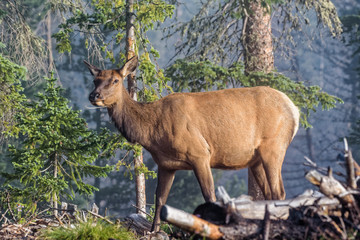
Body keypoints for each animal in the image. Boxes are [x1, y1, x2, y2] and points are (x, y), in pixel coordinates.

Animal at [84, 56, 298, 232]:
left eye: (115, 80)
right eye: (95, 80)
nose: (94, 96)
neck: (152, 133)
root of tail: (294, 110)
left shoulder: (200, 153)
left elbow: (209, 196)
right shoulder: (166, 164)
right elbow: (160, 199)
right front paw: (154, 230)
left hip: (274, 146)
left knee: (279, 192)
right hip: (255, 160)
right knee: (269, 194)